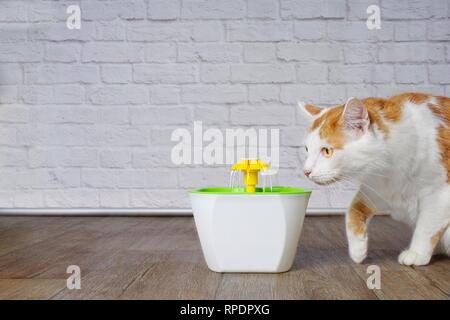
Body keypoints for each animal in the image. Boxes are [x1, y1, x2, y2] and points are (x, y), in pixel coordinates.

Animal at [298, 93, 450, 268]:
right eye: (307, 149)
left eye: (327, 151)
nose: (306, 171)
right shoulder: (377, 189)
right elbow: (352, 211)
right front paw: (358, 249)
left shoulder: (440, 195)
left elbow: (426, 226)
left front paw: (417, 253)